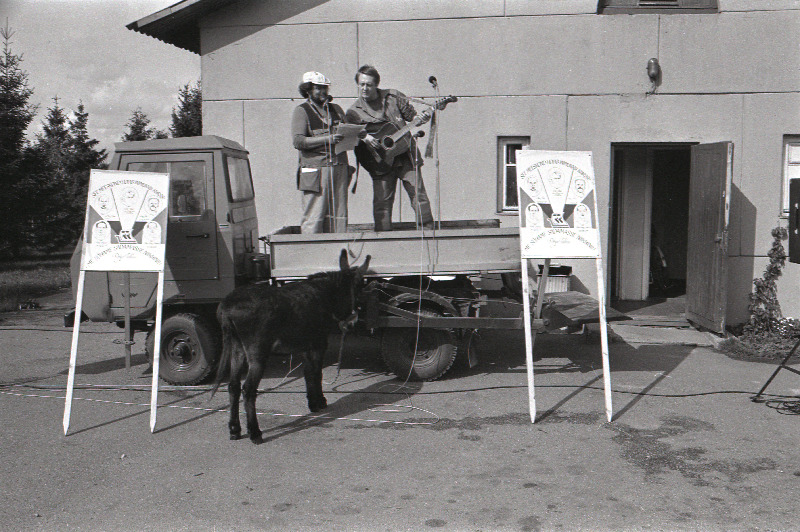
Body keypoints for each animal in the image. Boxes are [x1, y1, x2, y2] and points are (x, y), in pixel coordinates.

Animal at [214, 251, 374, 442]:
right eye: (359, 286)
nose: (352, 322)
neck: (326, 295)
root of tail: (227, 306)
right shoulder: (319, 343)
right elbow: (317, 373)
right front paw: (320, 401)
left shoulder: (306, 345)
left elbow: (308, 373)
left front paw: (313, 403)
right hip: (257, 352)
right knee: (248, 390)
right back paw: (254, 432)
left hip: (237, 349)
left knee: (233, 386)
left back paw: (234, 429)